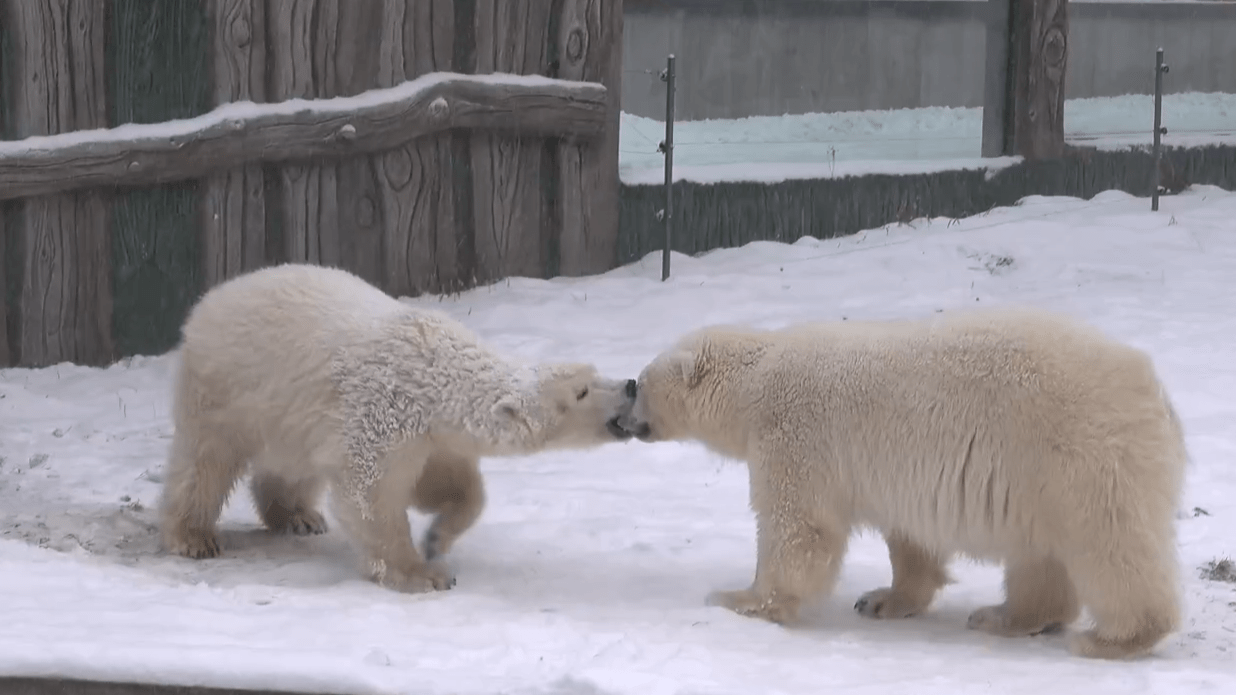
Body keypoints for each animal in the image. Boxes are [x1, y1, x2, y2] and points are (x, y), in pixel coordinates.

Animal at [158, 262, 632, 593]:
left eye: (595, 373)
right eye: (582, 391)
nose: (629, 386)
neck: (436, 372)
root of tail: (212, 298)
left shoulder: (431, 434)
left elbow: (451, 484)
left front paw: (438, 538)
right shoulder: (383, 412)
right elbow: (371, 495)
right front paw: (423, 574)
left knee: (292, 461)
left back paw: (298, 515)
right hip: (226, 388)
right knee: (205, 461)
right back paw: (193, 536)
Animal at [618, 305, 1186, 657]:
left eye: (639, 384)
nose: (622, 414)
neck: (758, 379)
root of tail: (1151, 386)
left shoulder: (796, 434)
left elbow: (798, 527)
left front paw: (739, 599)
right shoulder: (893, 474)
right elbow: (910, 541)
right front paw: (881, 600)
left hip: (1078, 453)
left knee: (1110, 545)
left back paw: (1115, 638)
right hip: (1039, 478)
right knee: (1039, 554)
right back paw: (1003, 616)